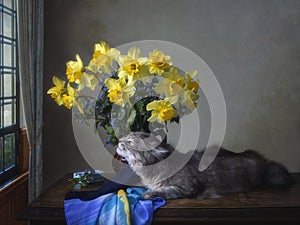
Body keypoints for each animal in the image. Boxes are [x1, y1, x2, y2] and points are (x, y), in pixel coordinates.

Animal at [116, 131, 292, 200]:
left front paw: (149, 194)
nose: (118, 142)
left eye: (129, 142)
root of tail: (265, 162)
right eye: (125, 137)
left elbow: (163, 190)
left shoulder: (187, 187)